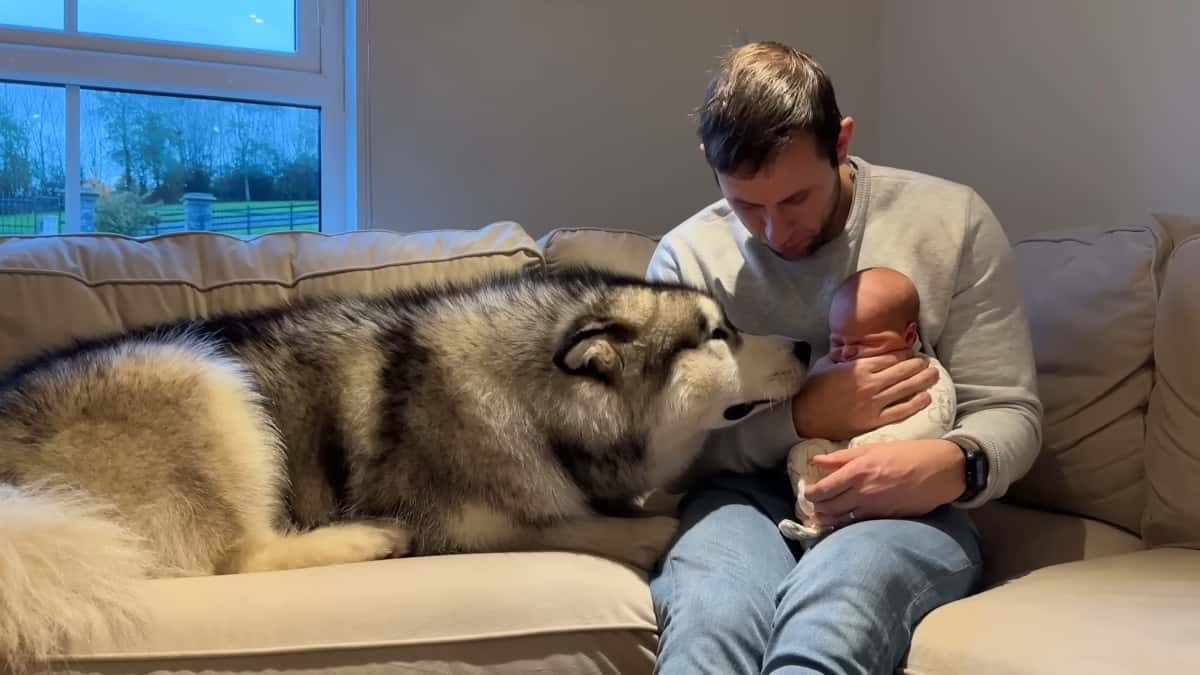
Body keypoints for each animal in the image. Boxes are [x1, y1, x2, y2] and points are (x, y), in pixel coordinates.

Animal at [0, 266, 811, 667]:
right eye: (717, 335)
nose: (806, 344)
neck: (536, 397)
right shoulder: (467, 523)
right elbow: (572, 524)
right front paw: (649, 525)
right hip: (200, 376)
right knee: (237, 557)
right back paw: (365, 538)